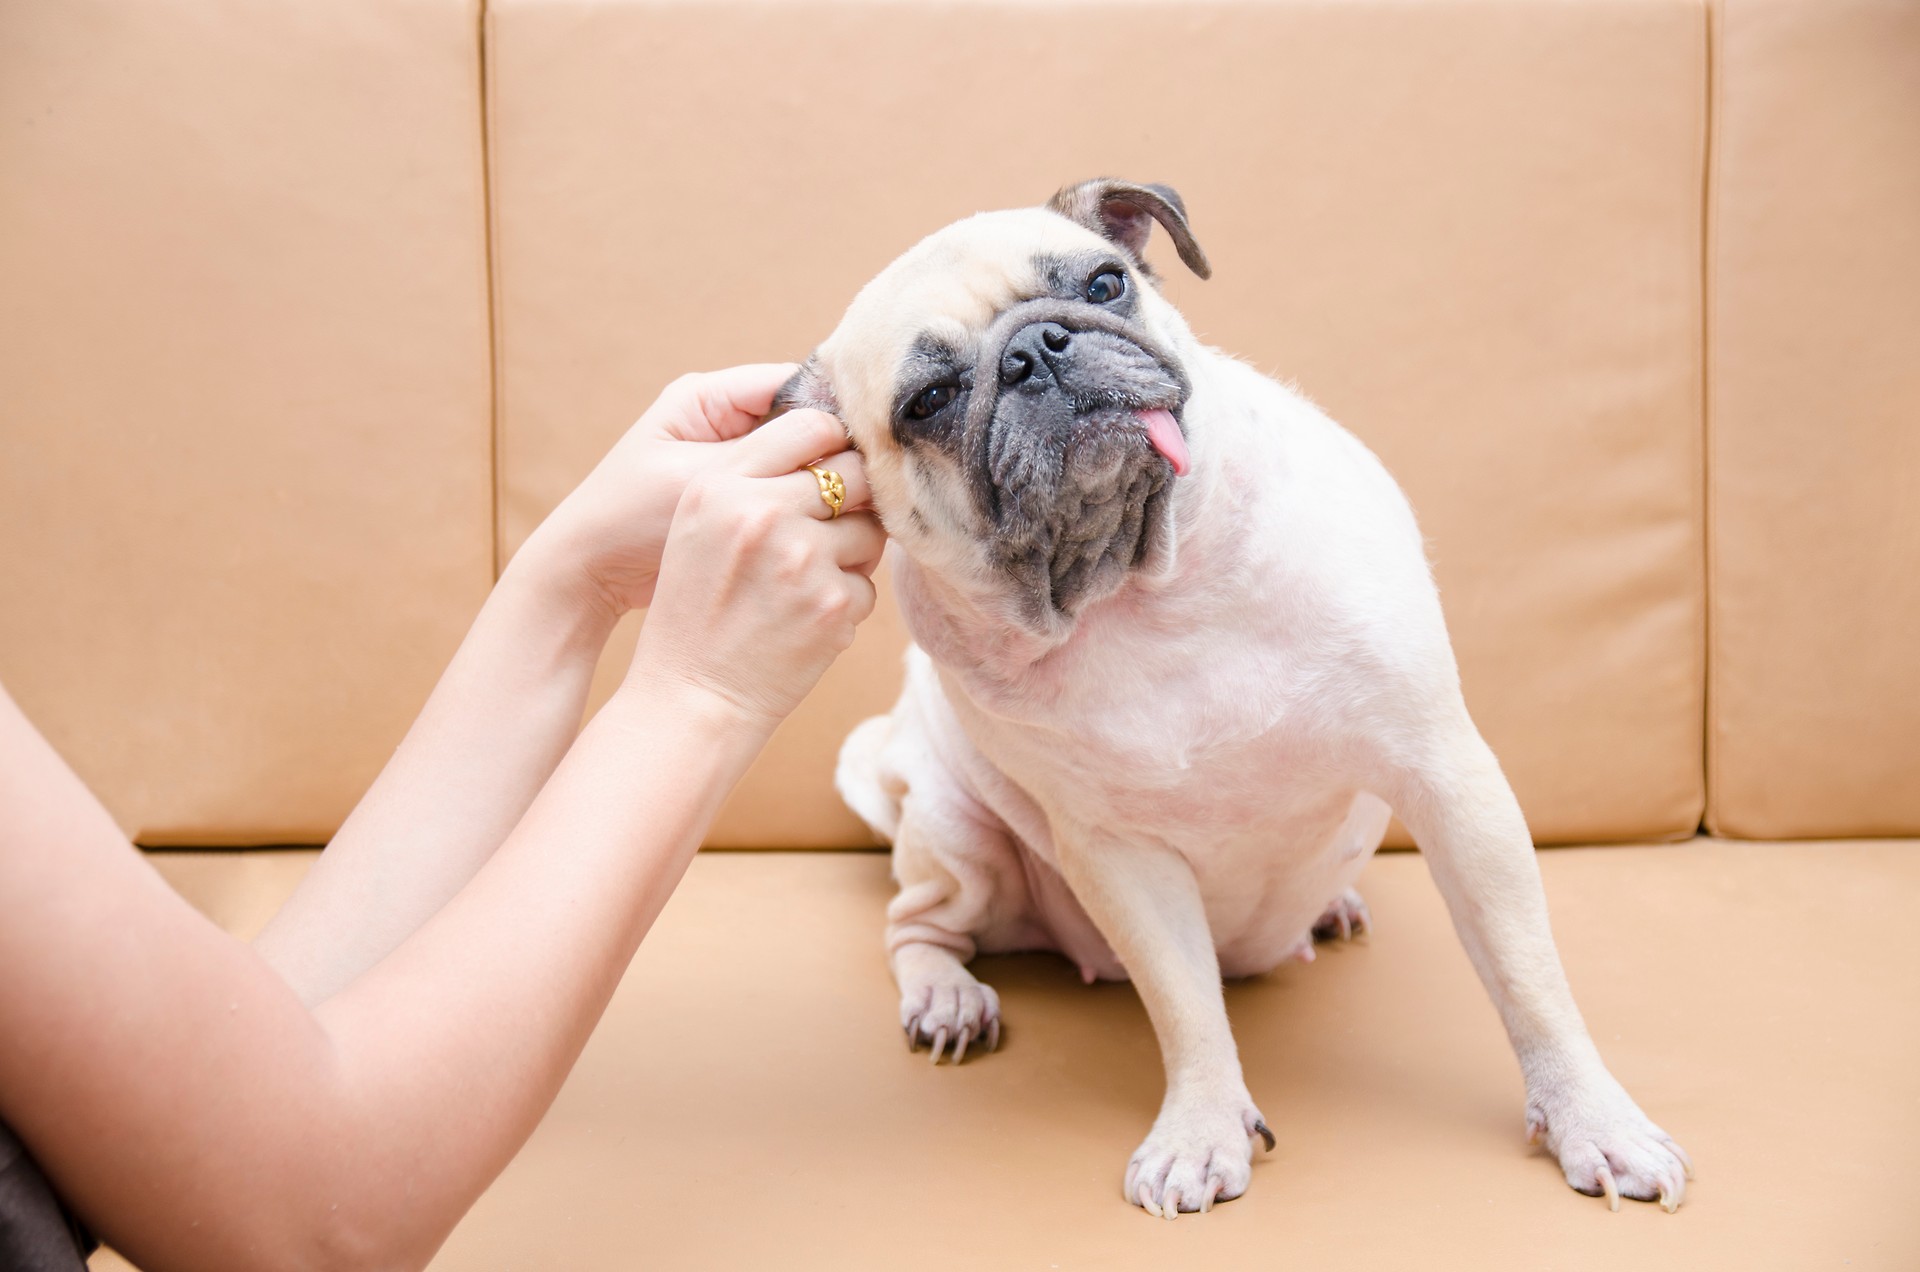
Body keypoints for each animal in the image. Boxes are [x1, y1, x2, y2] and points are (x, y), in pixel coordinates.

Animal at [771, 181, 1689, 1229]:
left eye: (1104, 284)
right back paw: (947, 997)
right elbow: (1186, 1007)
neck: (1139, 592)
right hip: (958, 836)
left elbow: (1530, 978)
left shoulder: (1448, 779)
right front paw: (1201, 1130)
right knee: (917, 923)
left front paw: (1593, 1119)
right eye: (927, 403)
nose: (1036, 348)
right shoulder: (1120, 856)